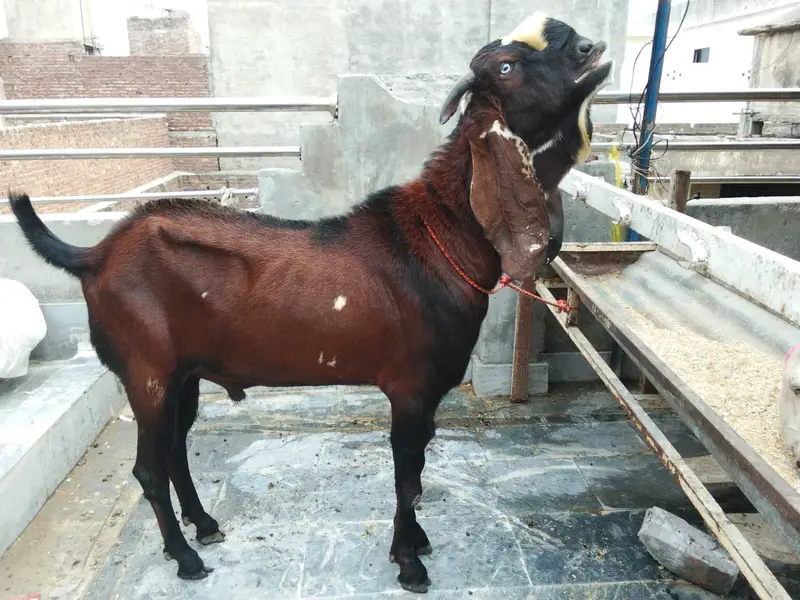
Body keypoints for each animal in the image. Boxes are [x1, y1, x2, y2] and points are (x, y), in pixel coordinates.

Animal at [9, 11, 611, 594]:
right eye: (508, 67)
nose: (591, 49)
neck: (440, 234)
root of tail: (95, 255)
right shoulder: (410, 387)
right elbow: (408, 476)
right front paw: (409, 563)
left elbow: (417, 473)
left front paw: (415, 543)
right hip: (146, 371)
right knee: (149, 469)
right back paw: (185, 557)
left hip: (183, 374)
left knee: (176, 451)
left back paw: (205, 525)